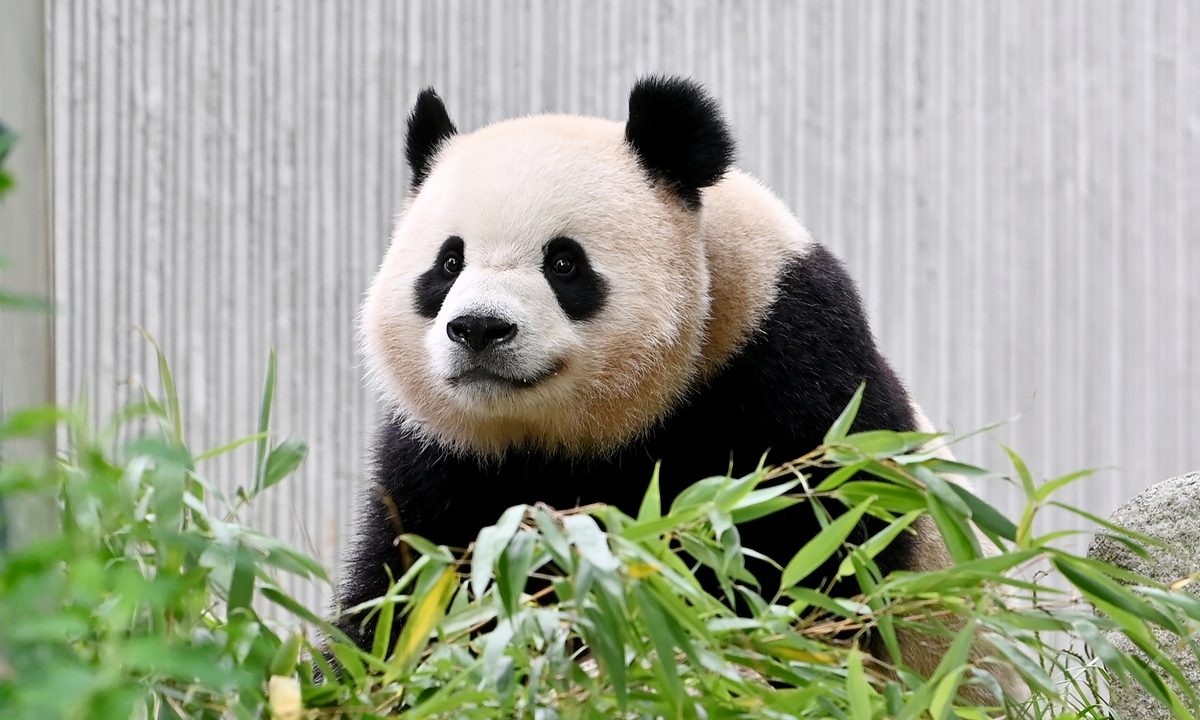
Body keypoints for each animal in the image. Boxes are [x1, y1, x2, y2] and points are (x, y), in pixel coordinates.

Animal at [340, 77, 1022, 700]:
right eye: (448, 263)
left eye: (563, 263)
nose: (480, 328)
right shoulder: (448, 457)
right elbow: (408, 585)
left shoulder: (783, 377)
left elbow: (794, 567)